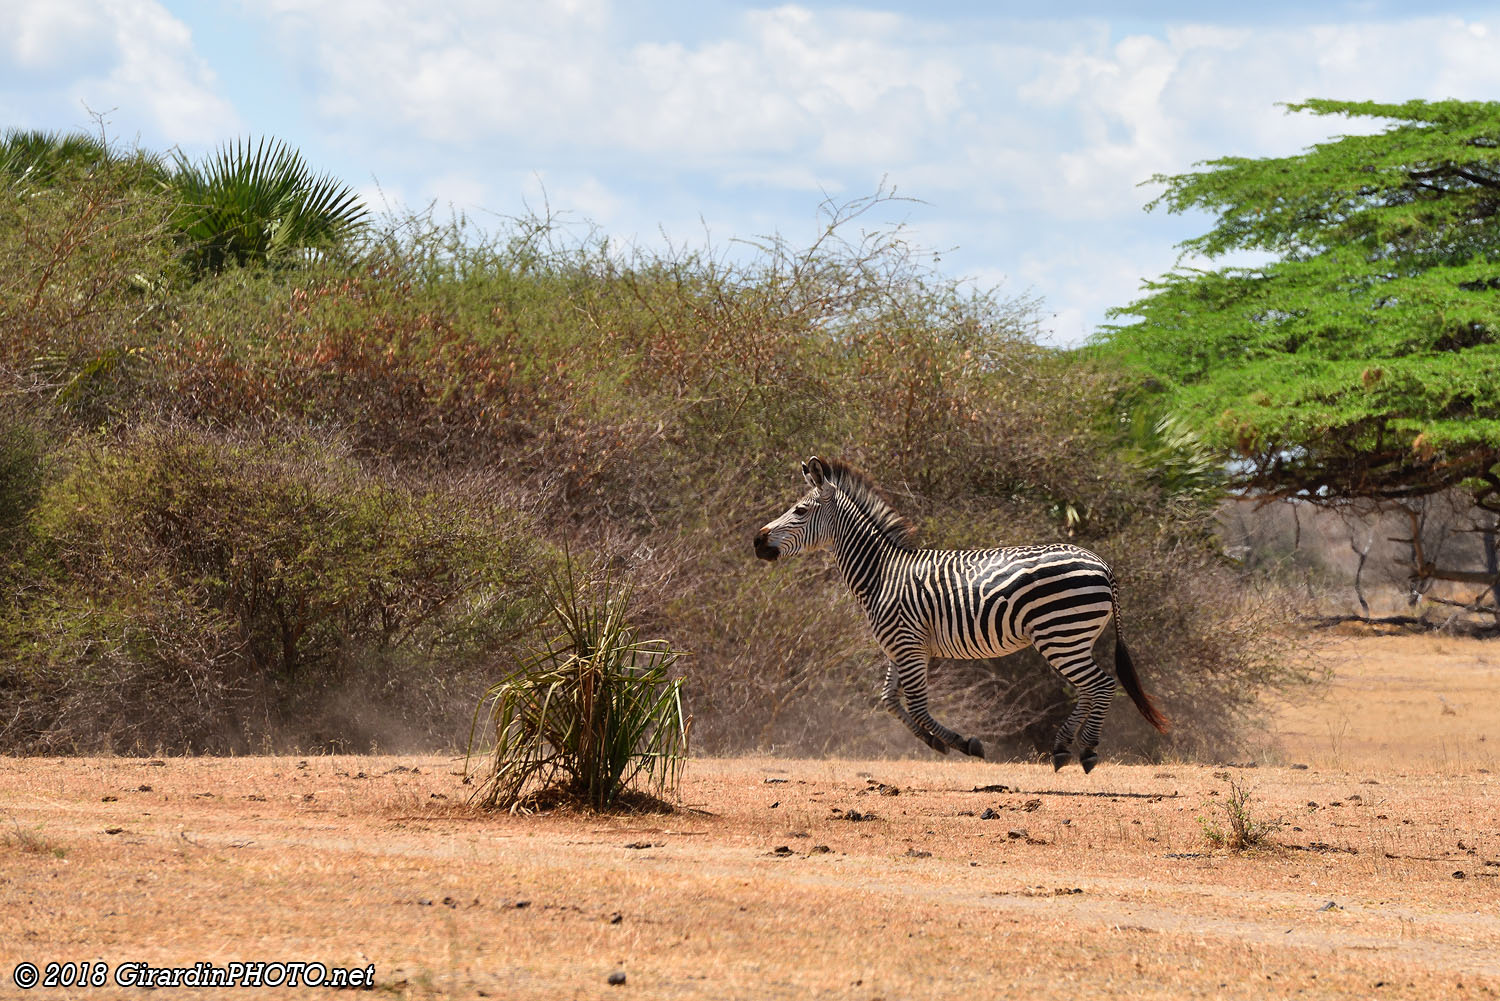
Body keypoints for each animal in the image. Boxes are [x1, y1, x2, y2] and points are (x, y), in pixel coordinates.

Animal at [752, 456, 1168, 772]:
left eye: (800, 510)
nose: (757, 541)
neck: (882, 573)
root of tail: (1102, 564)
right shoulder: (901, 647)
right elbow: (889, 700)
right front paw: (933, 743)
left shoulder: (908, 646)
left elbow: (918, 707)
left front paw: (963, 743)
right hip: (1074, 637)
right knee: (1090, 687)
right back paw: (1064, 746)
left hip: (1060, 634)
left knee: (1101, 684)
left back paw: (1088, 750)